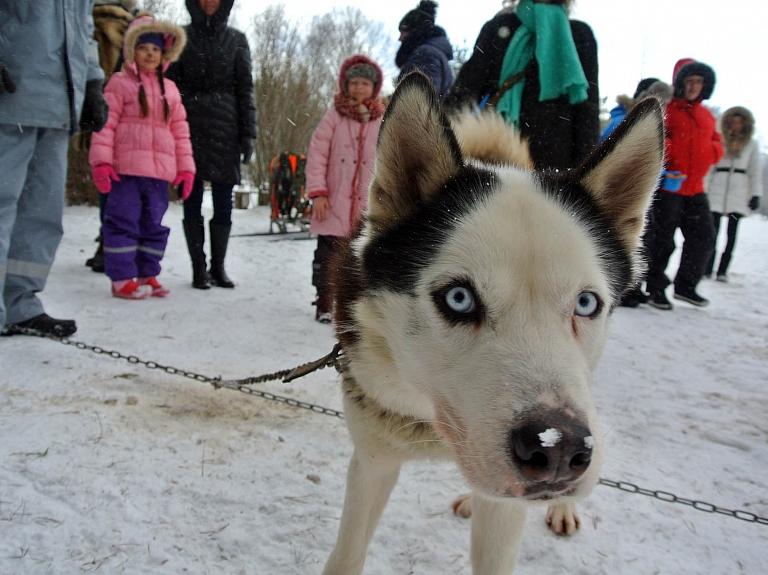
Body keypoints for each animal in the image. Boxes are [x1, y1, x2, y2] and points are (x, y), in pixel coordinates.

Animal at [324, 73, 664, 575]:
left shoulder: (507, 507)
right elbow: (347, 554)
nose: (559, 448)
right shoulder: (372, 461)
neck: (430, 418)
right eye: (459, 299)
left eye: (585, 303)